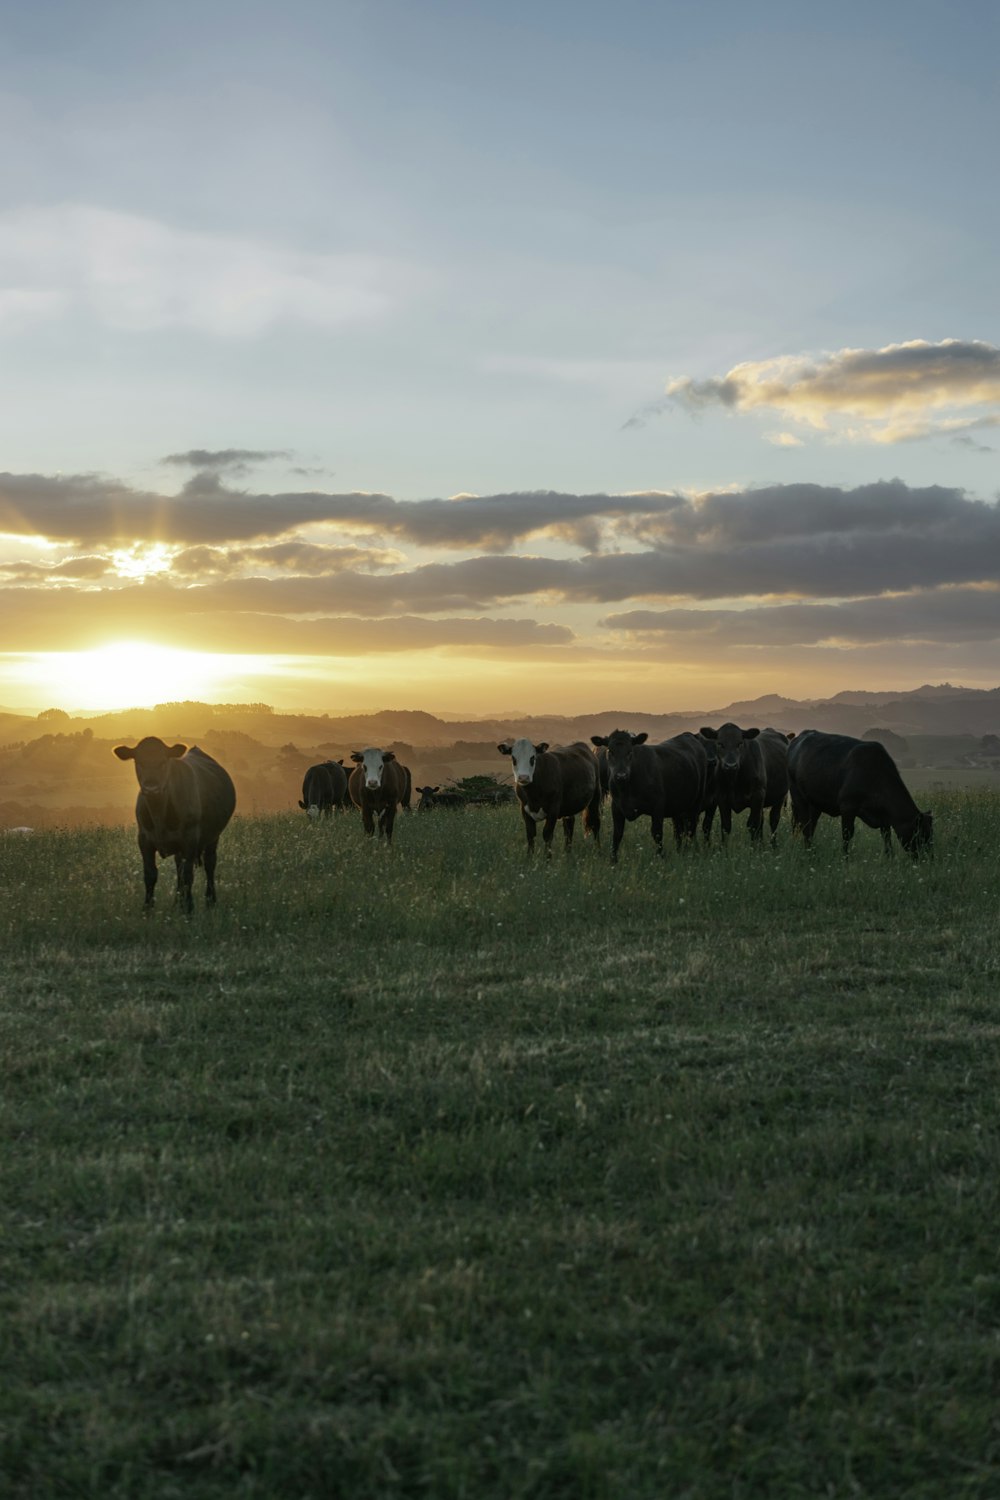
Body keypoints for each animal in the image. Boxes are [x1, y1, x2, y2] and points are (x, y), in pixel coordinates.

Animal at [115, 732, 236, 906]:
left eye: (163, 761)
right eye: (139, 761)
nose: (151, 788)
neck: (159, 813)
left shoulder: (190, 839)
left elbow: (188, 876)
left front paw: (189, 907)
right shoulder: (144, 839)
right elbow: (150, 875)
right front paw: (147, 907)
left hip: (214, 835)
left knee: (209, 864)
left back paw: (210, 900)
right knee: (179, 866)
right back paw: (177, 901)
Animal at [590, 729, 707, 864]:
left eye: (630, 751)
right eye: (610, 751)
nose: (621, 776)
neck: (627, 789)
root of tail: (688, 735)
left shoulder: (658, 806)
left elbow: (657, 833)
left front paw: (660, 857)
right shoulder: (617, 807)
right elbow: (617, 833)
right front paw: (613, 860)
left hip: (696, 802)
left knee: (691, 828)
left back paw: (689, 852)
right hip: (678, 807)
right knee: (679, 831)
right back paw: (680, 851)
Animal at [785, 729, 935, 858]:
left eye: (931, 834)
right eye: (922, 835)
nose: (929, 859)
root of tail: (801, 736)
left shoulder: (884, 818)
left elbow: (886, 837)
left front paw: (889, 858)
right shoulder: (847, 807)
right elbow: (847, 835)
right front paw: (845, 858)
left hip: (815, 803)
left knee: (811, 825)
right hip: (797, 795)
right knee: (804, 825)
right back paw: (808, 852)